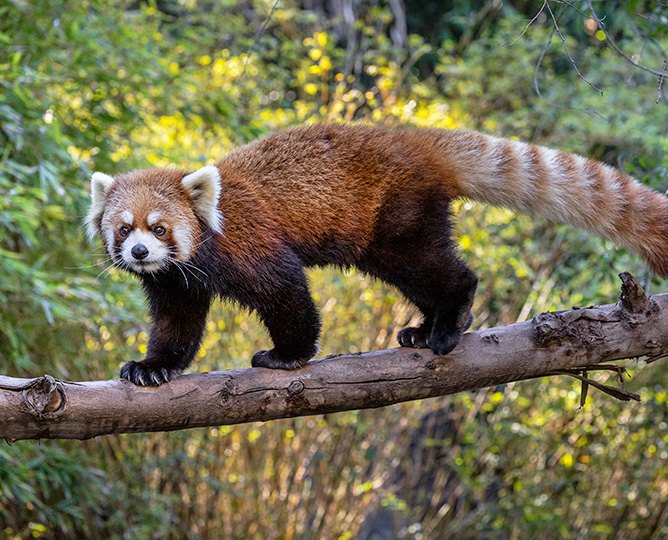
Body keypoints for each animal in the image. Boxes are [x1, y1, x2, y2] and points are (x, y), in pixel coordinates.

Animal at [85, 124, 668, 386]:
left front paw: (287, 355)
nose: (140, 251)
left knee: (436, 269)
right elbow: (177, 324)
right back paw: (423, 328)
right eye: (124, 229)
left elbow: (288, 293)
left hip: (393, 216)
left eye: (159, 227)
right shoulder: (175, 280)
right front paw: (153, 367)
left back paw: (448, 322)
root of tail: (413, 137)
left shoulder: (249, 244)